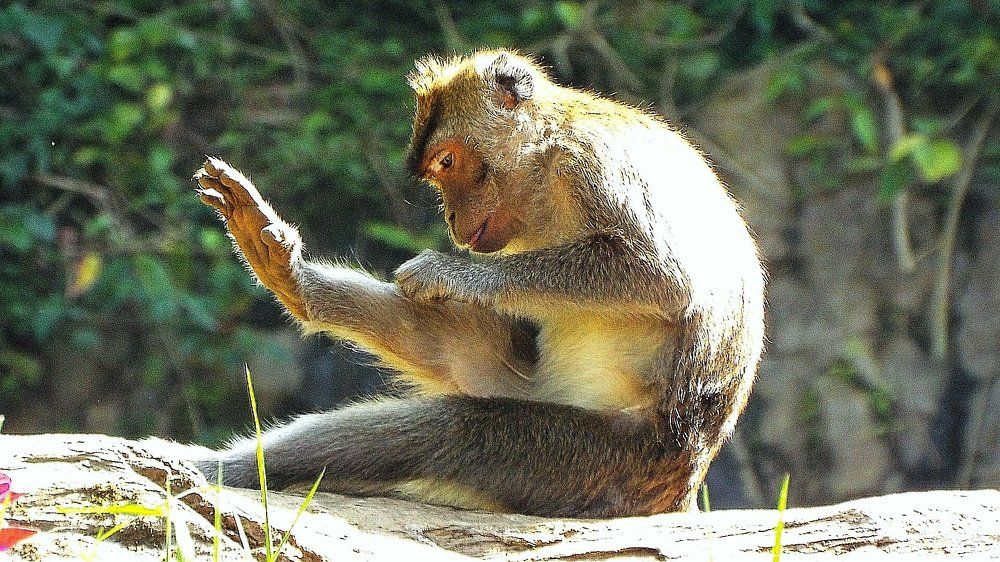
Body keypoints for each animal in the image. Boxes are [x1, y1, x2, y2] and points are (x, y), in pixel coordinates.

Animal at [190, 49, 765, 518]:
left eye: (448, 161)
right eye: (436, 172)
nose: (450, 218)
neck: (545, 158)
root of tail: (682, 482)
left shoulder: (595, 163)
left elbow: (664, 279)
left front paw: (451, 273)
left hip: (601, 465)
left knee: (451, 429)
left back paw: (221, 471)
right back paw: (298, 288)